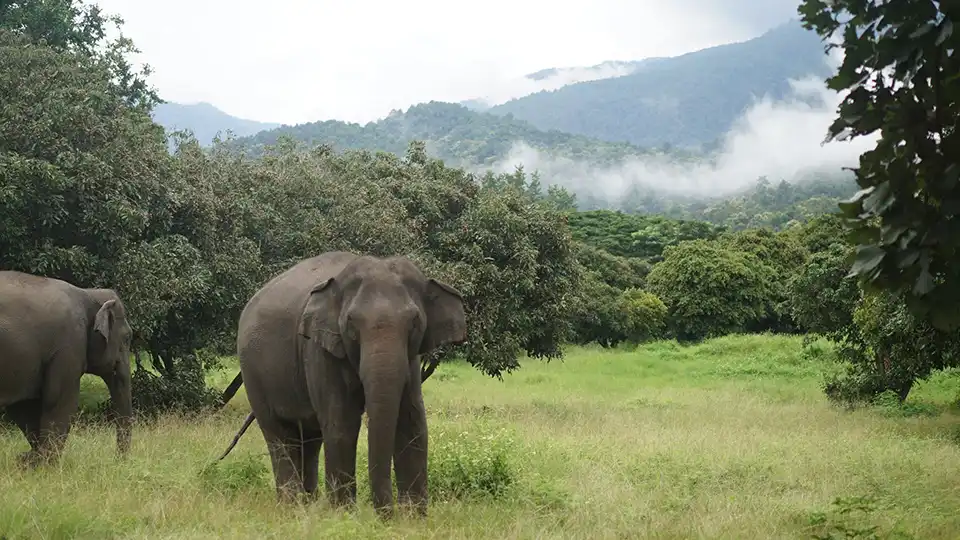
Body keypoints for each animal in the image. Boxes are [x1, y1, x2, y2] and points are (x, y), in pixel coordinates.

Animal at [0, 270, 134, 466]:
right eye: (127, 338)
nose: (117, 461)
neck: (88, 293)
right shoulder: (68, 346)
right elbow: (59, 400)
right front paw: (46, 465)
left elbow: (24, 405)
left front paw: (31, 460)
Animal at [217, 251, 467, 518]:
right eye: (351, 323)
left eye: (415, 322)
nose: (385, 515)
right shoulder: (319, 349)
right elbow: (342, 423)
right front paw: (344, 514)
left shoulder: (411, 361)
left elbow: (412, 423)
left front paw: (413, 518)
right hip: (253, 374)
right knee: (279, 435)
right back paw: (291, 507)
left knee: (310, 439)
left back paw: (309, 504)